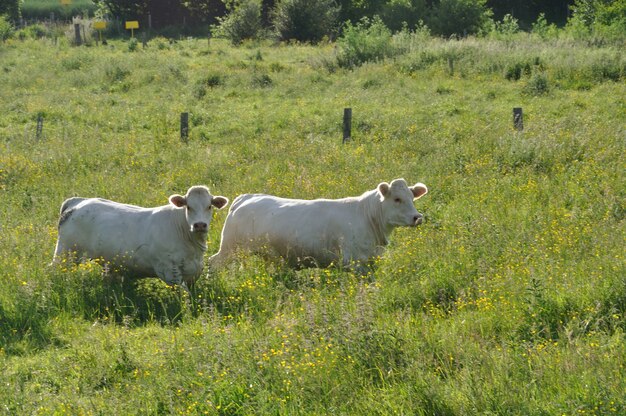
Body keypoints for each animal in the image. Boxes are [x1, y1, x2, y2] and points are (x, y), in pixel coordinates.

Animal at [51, 186, 227, 286]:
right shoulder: (169, 271)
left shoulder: (194, 272)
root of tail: (77, 202)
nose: (199, 225)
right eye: (188, 207)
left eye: (209, 206)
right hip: (66, 253)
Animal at [207, 177, 426, 272]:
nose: (417, 217)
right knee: (212, 263)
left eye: (412, 197)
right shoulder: (353, 261)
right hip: (230, 248)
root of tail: (245, 198)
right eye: (397, 199)